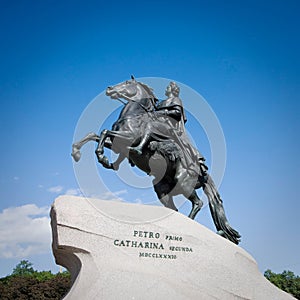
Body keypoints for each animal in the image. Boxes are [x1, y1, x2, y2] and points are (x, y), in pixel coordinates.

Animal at [71, 77, 240, 244]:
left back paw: (189, 224)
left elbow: (104, 132)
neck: (133, 116)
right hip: (162, 188)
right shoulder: (118, 144)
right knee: (174, 208)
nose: (109, 88)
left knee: (198, 203)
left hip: (183, 181)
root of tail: (202, 172)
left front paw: (102, 157)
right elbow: (94, 134)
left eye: (127, 83)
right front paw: (78, 153)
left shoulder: (129, 138)